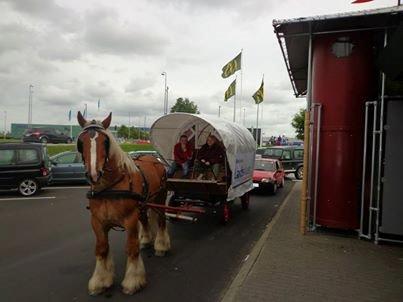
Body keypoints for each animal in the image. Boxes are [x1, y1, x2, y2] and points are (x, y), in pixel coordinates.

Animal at [76, 111, 171, 294]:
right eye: (80, 142)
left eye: (105, 142)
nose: (93, 174)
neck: (110, 187)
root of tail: (154, 158)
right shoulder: (97, 222)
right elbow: (102, 248)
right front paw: (100, 280)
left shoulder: (130, 220)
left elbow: (132, 248)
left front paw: (133, 280)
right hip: (143, 205)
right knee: (145, 220)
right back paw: (146, 240)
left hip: (160, 198)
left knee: (161, 220)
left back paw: (161, 246)